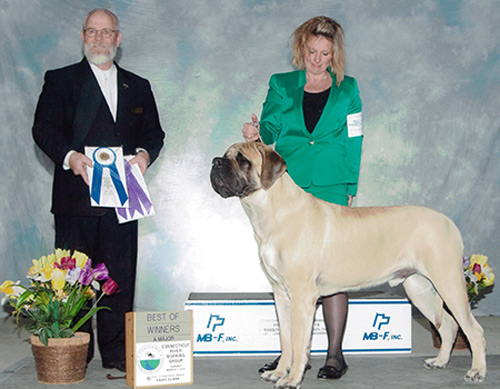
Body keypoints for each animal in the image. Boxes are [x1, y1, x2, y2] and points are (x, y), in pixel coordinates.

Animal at [210, 142, 484, 388]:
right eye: (225, 154)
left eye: (243, 160)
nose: (215, 162)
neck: (272, 210)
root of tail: (448, 222)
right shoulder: (281, 294)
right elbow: (286, 339)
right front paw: (278, 372)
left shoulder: (301, 295)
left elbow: (299, 342)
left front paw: (291, 379)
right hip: (420, 289)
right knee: (448, 325)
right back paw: (440, 361)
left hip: (448, 283)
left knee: (473, 329)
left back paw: (476, 372)